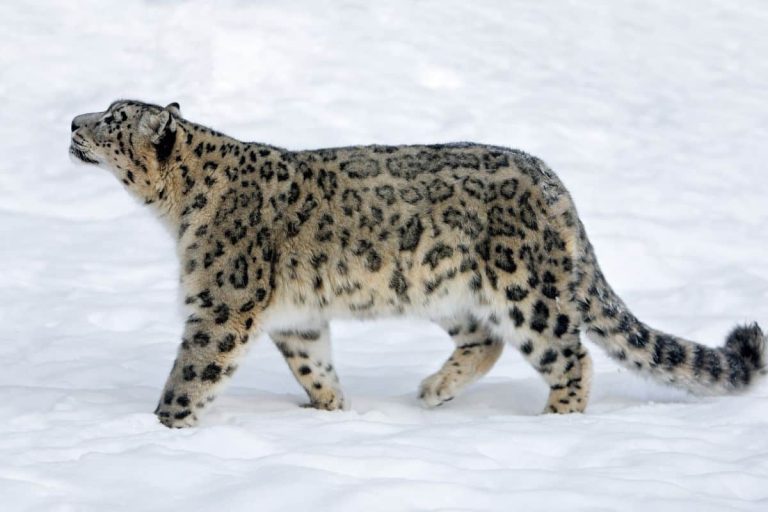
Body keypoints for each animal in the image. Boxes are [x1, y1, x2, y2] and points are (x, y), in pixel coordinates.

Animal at [69, 99, 767, 428]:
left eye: (113, 119)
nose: (74, 122)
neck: (177, 211)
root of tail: (554, 183)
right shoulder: (295, 318)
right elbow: (312, 363)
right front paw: (332, 409)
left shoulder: (222, 303)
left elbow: (191, 372)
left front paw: (162, 428)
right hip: (446, 287)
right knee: (484, 338)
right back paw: (434, 391)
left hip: (526, 289)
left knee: (570, 354)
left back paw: (555, 422)